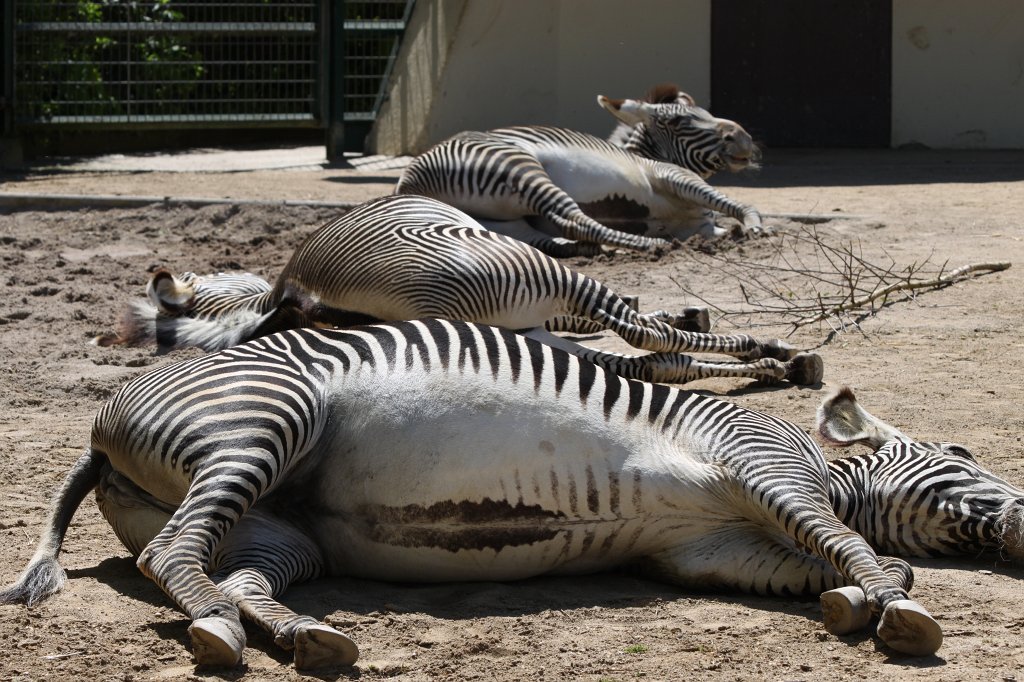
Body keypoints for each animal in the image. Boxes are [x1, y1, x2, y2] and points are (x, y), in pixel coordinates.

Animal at [2, 321, 942, 669]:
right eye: (960, 453)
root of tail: (101, 427)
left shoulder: (711, 551)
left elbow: (819, 566)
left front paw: (854, 603)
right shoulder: (759, 462)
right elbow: (849, 541)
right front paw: (894, 600)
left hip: (277, 532)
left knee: (228, 570)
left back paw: (296, 635)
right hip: (263, 423)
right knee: (173, 557)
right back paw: (225, 631)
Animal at [95, 194, 824, 387]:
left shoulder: (540, 323)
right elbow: (641, 321)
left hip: (517, 325)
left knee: (648, 360)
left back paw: (772, 362)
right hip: (536, 279)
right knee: (647, 343)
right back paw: (777, 357)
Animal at [394, 89, 762, 257]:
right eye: (678, 121)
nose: (743, 136)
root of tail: (409, 181)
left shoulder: (701, 226)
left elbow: (718, 224)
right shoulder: (672, 176)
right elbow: (735, 204)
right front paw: (755, 227)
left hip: (498, 220)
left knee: (545, 237)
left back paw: (591, 249)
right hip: (519, 167)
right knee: (573, 219)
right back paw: (651, 244)